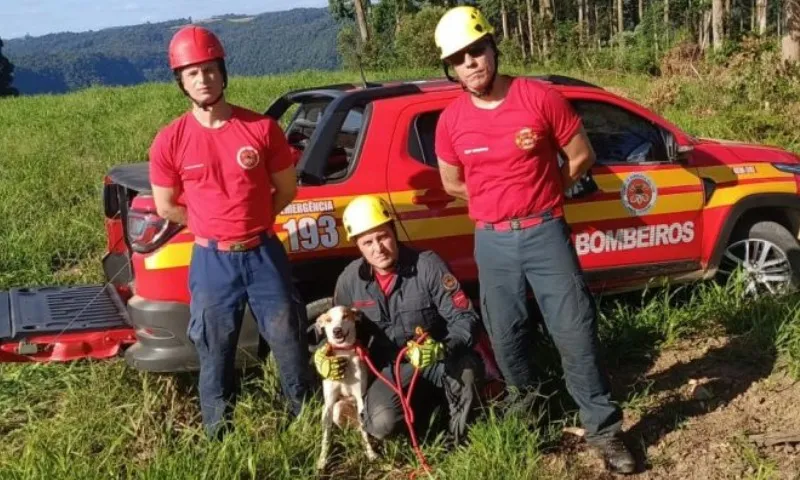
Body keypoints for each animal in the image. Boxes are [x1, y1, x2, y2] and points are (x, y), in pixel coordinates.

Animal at [314, 306, 376, 470]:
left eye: (345, 316)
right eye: (328, 320)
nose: (337, 331)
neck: (344, 353)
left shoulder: (360, 399)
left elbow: (365, 433)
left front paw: (371, 453)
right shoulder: (329, 403)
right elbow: (326, 437)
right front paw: (322, 459)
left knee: (361, 428)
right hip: (335, 409)